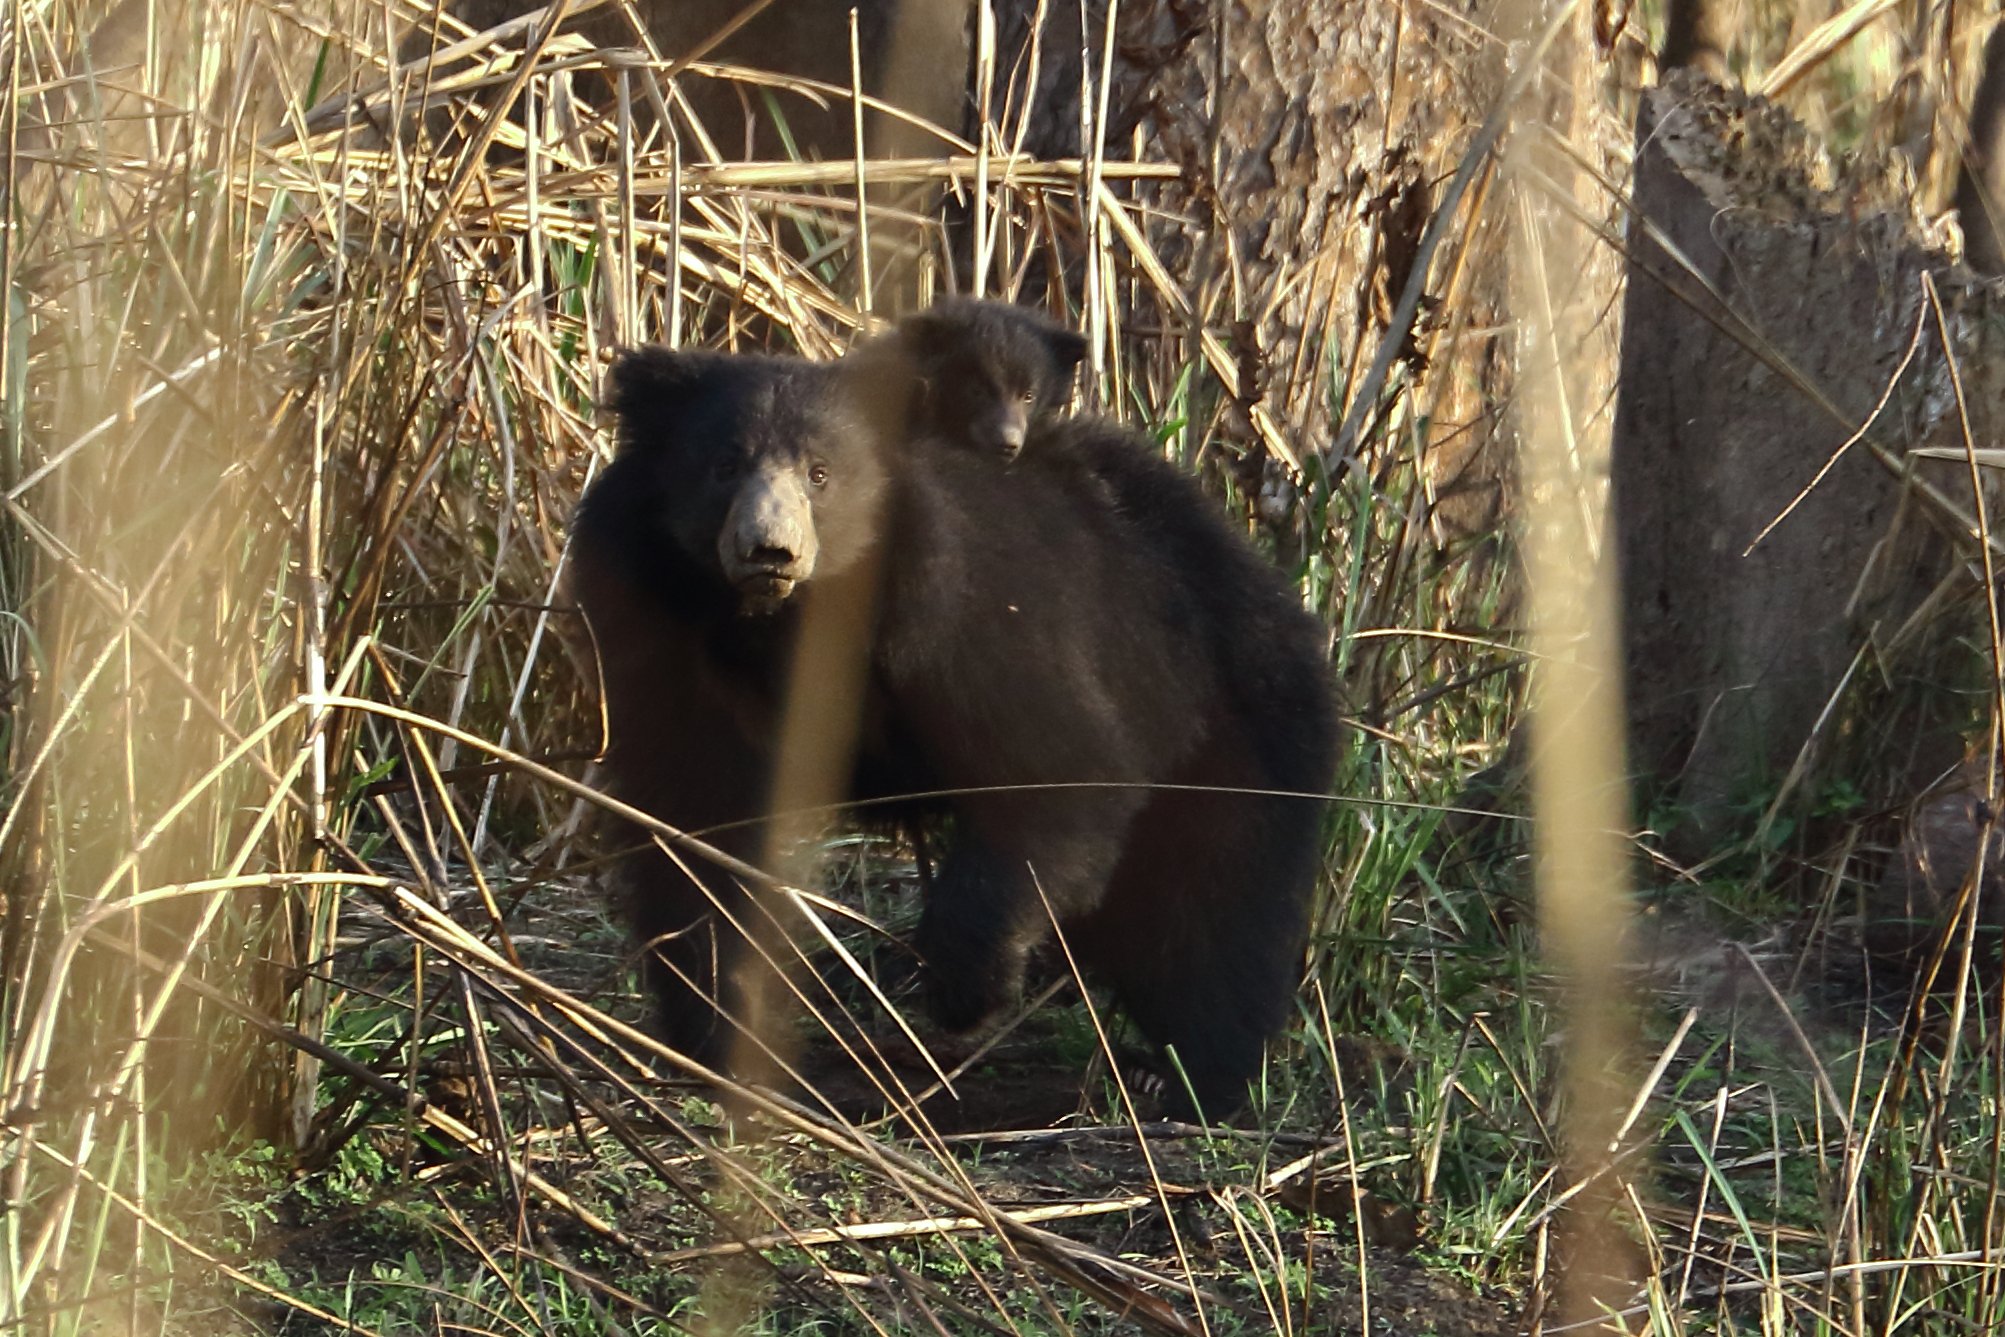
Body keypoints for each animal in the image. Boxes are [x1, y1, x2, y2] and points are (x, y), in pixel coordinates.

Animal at [569, 336, 1331, 1122]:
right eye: (723, 465)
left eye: (819, 473)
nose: (768, 552)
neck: (780, 623)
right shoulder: (659, 623)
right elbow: (696, 827)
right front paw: (722, 1042)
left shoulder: (959, 606)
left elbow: (1057, 764)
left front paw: (964, 990)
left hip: (1228, 722)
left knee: (1213, 910)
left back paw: (1190, 1079)